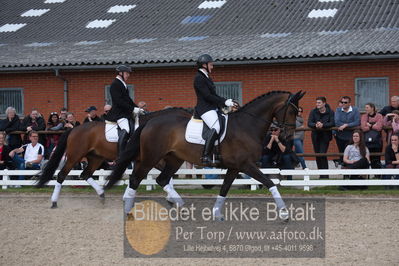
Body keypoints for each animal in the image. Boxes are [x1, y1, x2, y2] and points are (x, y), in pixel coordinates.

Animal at [35, 108, 192, 208]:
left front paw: (170, 198)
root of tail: (74, 129)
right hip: (75, 156)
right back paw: (54, 202)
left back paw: (101, 195)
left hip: (96, 158)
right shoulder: (151, 159)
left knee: (85, 174)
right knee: (62, 175)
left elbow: (140, 177)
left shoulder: (147, 160)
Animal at [105, 90, 306, 219]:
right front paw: (284, 213)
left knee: (161, 179)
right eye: (292, 110)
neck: (247, 125)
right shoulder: (246, 165)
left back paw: (182, 208)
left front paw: (216, 214)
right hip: (151, 157)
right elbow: (270, 183)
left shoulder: (235, 167)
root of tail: (150, 121)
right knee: (135, 178)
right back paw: (129, 211)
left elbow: (224, 189)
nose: (288, 137)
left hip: (174, 159)